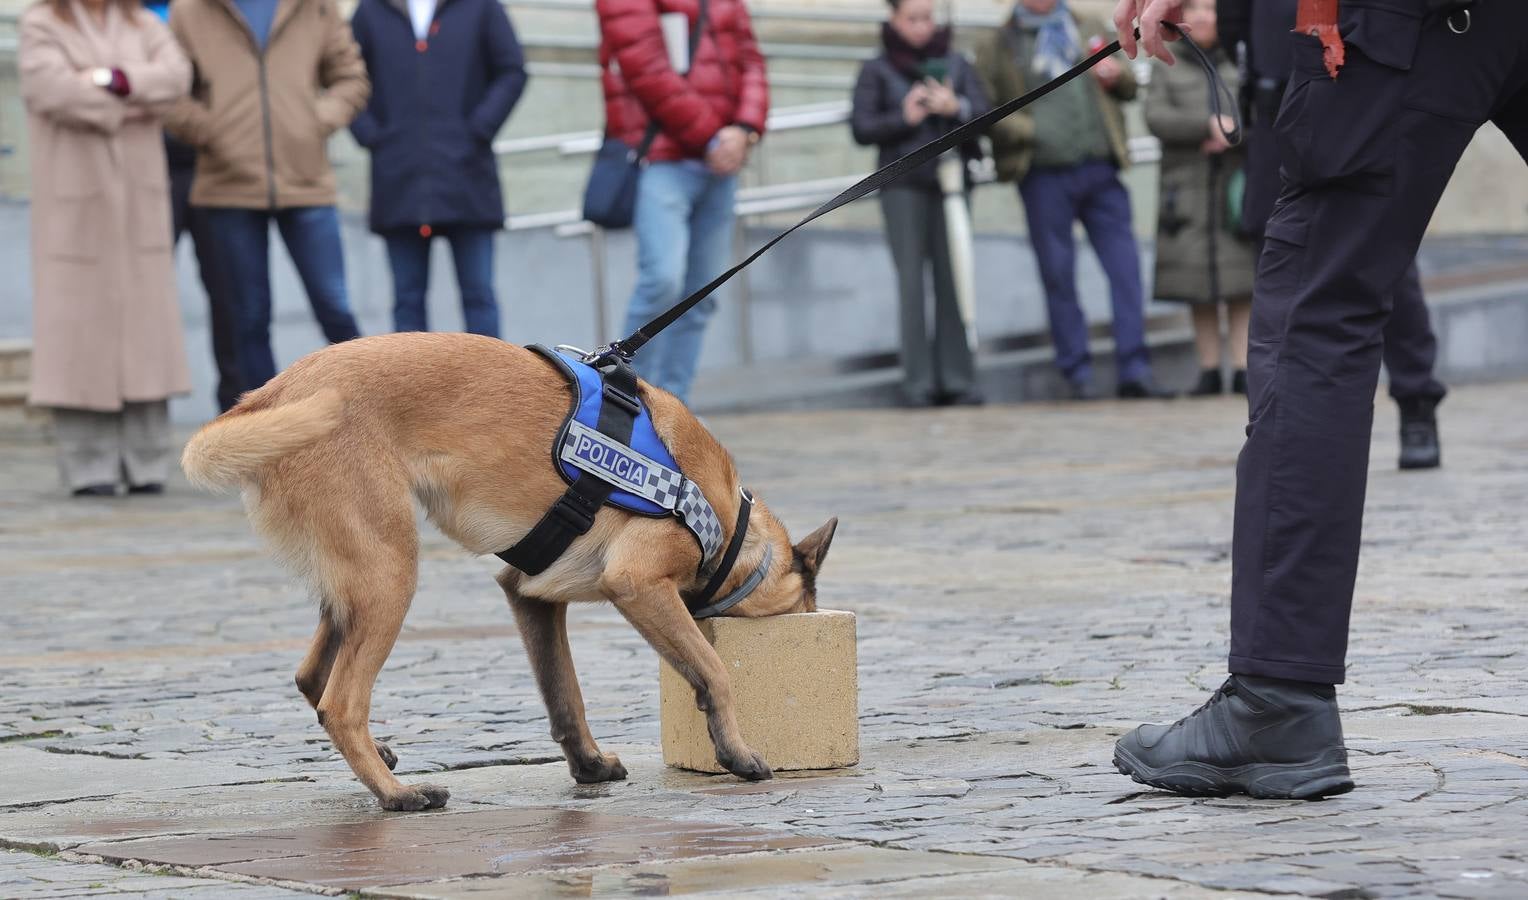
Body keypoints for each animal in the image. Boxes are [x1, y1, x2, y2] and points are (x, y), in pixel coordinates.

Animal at [187, 330, 849, 806]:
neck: (728, 522)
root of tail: (270, 396)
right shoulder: (637, 585)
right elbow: (714, 671)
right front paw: (737, 753)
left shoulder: (530, 596)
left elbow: (565, 693)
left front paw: (588, 764)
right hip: (390, 575)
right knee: (341, 703)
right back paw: (398, 795)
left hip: (356, 583)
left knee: (311, 678)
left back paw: (386, 760)